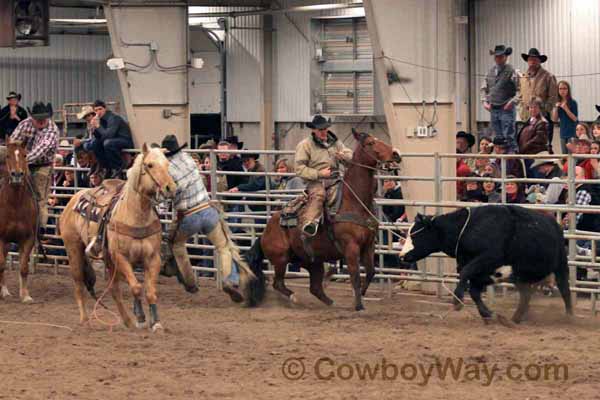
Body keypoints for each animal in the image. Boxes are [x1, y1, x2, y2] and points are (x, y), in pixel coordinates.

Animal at [60, 144, 177, 332]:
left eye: (167, 164)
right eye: (150, 165)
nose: (170, 188)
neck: (135, 214)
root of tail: (73, 200)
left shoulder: (153, 258)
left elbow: (150, 292)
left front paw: (156, 323)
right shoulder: (121, 257)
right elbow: (136, 287)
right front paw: (141, 318)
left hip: (108, 260)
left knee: (114, 290)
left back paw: (127, 321)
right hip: (74, 249)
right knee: (78, 284)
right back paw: (85, 320)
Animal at [244, 130, 398, 310]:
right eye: (370, 143)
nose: (396, 154)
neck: (353, 201)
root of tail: (265, 232)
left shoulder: (368, 244)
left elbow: (371, 272)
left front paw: (362, 294)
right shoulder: (351, 247)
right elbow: (355, 275)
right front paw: (359, 305)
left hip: (312, 262)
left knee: (315, 287)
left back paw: (331, 302)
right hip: (281, 259)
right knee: (278, 283)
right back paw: (295, 298)